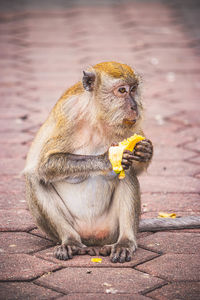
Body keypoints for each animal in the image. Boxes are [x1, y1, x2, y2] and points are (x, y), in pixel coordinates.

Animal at [23, 61, 200, 262]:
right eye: (122, 90)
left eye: (133, 89)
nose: (134, 107)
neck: (97, 116)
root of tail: (92, 239)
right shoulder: (69, 113)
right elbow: (45, 165)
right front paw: (106, 159)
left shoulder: (131, 126)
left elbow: (134, 166)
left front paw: (145, 151)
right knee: (35, 177)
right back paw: (70, 240)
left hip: (111, 229)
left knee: (127, 173)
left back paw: (124, 242)